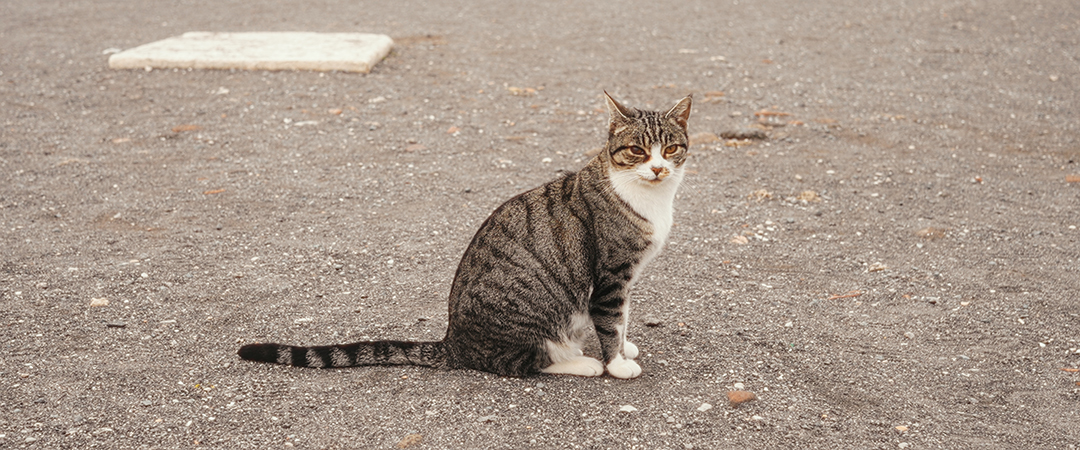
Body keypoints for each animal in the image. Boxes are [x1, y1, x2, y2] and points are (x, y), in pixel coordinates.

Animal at [237, 92, 691, 379]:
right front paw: (617, 364)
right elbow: (611, 322)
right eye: (637, 151)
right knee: (520, 363)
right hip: (531, 319)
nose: (657, 168)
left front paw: (626, 346)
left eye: (670, 149)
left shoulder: (625, 278)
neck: (651, 198)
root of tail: (453, 340)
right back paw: (581, 362)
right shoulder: (611, 275)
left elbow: (623, 319)